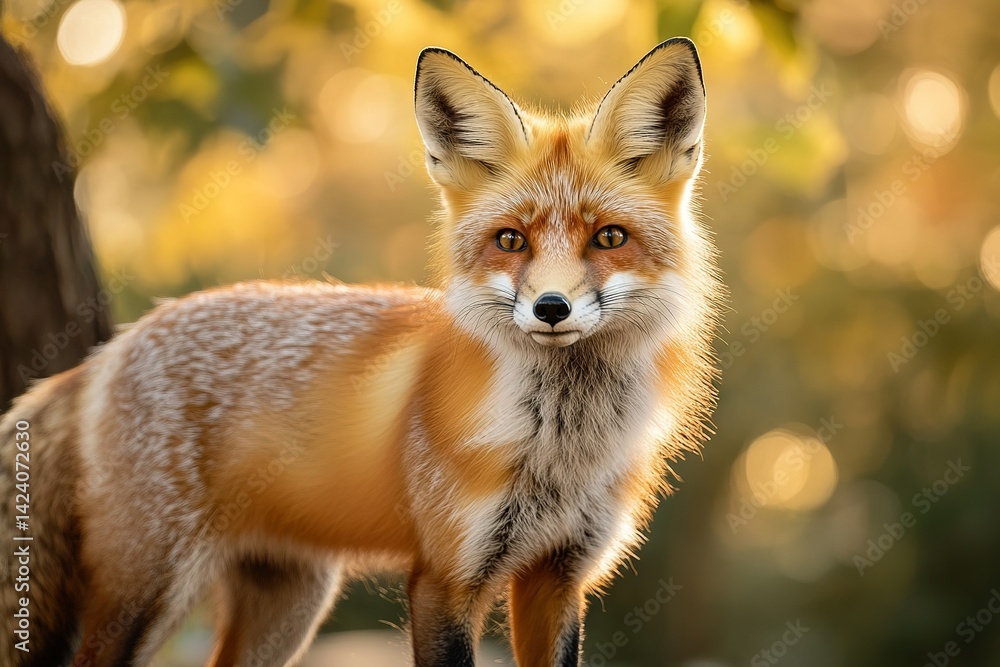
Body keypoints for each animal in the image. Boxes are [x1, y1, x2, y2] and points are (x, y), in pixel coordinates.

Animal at [0, 38, 720, 667]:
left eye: (610, 237)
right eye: (510, 240)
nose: (550, 308)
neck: (561, 448)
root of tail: (114, 346)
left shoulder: (559, 575)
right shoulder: (445, 575)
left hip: (290, 605)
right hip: (147, 594)